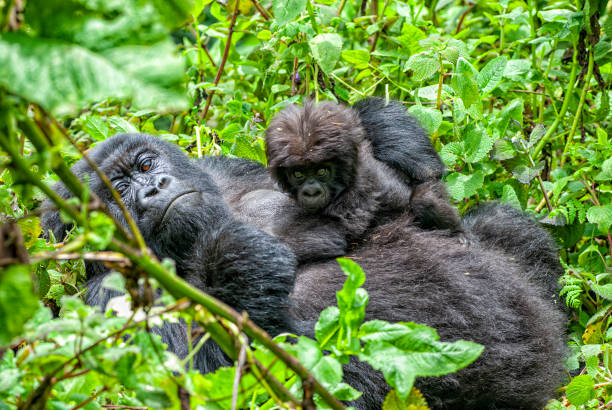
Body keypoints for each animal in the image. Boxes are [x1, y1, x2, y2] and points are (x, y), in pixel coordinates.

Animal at [40, 134, 568, 406]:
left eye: (146, 166)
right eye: (117, 193)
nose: (153, 189)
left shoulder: (227, 168)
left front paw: (388, 132)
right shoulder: (105, 301)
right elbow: (206, 381)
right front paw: (238, 263)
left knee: (498, 225)